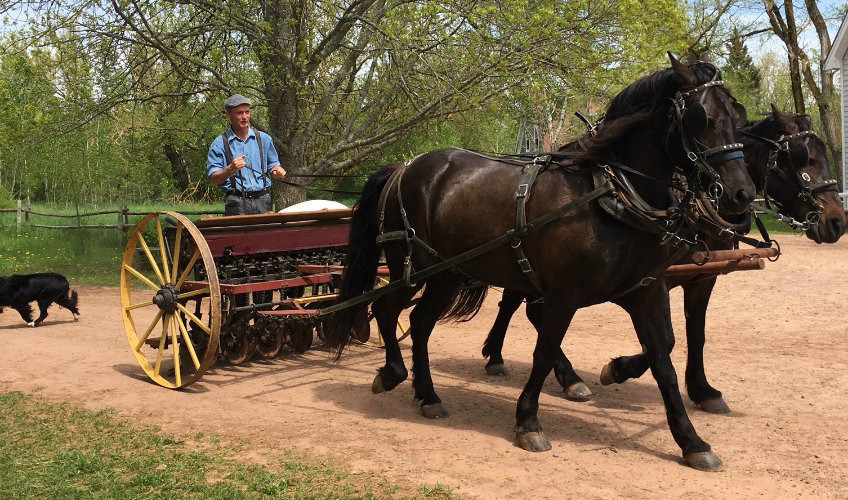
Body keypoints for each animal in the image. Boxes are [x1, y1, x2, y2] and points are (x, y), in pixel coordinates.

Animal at [326, 55, 756, 472]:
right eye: (703, 118)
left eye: (739, 117)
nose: (742, 193)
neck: (609, 197)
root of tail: (404, 167)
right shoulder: (564, 295)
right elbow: (545, 350)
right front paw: (529, 421)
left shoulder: (646, 291)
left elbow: (663, 355)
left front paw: (691, 440)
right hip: (412, 268)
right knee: (387, 310)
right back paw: (393, 374)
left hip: (448, 274)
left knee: (419, 322)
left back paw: (428, 395)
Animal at [480, 103, 844, 412]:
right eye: (803, 158)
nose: (837, 221)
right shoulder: (656, 281)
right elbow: (662, 343)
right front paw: (618, 369)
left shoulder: (701, 279)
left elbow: (694, 335)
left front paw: (702, 390)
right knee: (525, 307)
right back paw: (546, 371)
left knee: (521, 305)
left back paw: (512, 358)